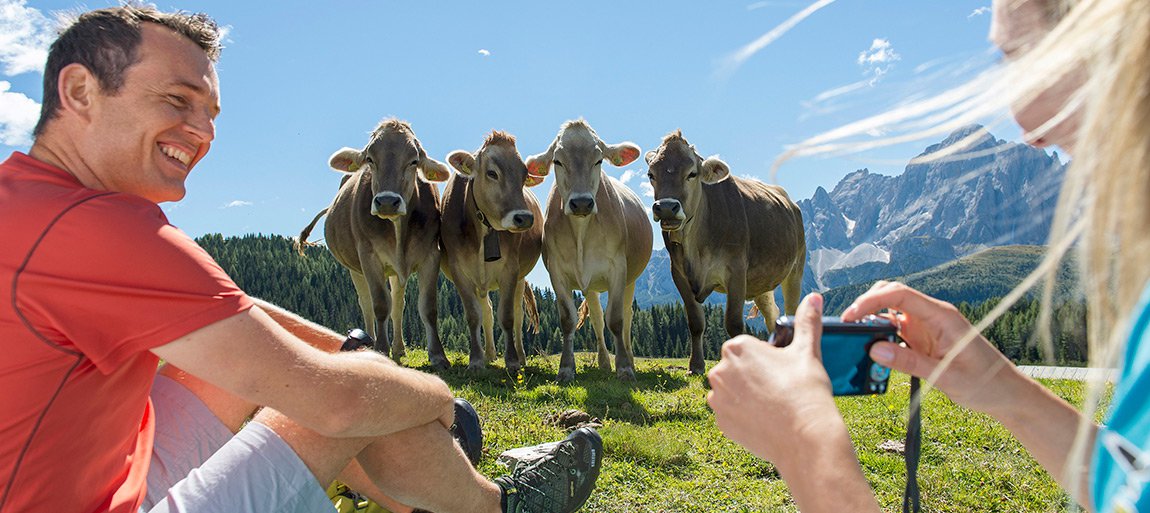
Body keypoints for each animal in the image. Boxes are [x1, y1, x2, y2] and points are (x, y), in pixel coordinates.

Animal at [296, 118, 448, 368]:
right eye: (370, 159)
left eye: (413, 161)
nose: (387, 201)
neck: (397, 227)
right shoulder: (368, 256)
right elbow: (380, 305)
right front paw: (381, 349)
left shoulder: (430, 255)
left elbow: (427, 307)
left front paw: (438, 355)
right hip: (355, 267)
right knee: (366, 303)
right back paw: (371, 343)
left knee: (398, 304)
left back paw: (399, 348)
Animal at [441, 132, 545, 372]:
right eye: (492, 173)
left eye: (524, 176)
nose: (524, 218)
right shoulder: (459, 270)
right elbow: (474, 316)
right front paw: (476, 361)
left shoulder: (510, 269)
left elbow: (507, 316)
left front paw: (512, 361)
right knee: (486, 311)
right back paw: (489, 354)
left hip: (520, 278)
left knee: (517, 314)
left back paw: (521, 356)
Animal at [526, 119, 653, 381]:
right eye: (558, 161)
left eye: (599, 160)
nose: (582, 202)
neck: (581, 232)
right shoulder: (557, 272)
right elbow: (569, 320)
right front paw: (566, 369)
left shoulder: (618, 269)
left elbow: (616, 319)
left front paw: (624, 368)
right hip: (592, 285)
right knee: (596, 317)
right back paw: (604, 362)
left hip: (631, 279)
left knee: (626, 318)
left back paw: (629, 360)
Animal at [648, 129, 809, 374]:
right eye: (651, 175)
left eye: (692, 174)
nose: (666, 207)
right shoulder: (679, 273)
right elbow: (695, 322)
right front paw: (695, 366)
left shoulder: (736, 270)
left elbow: (733, 323)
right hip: (762, 283)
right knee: (772, 315)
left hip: (795, 271)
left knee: (791, 312)